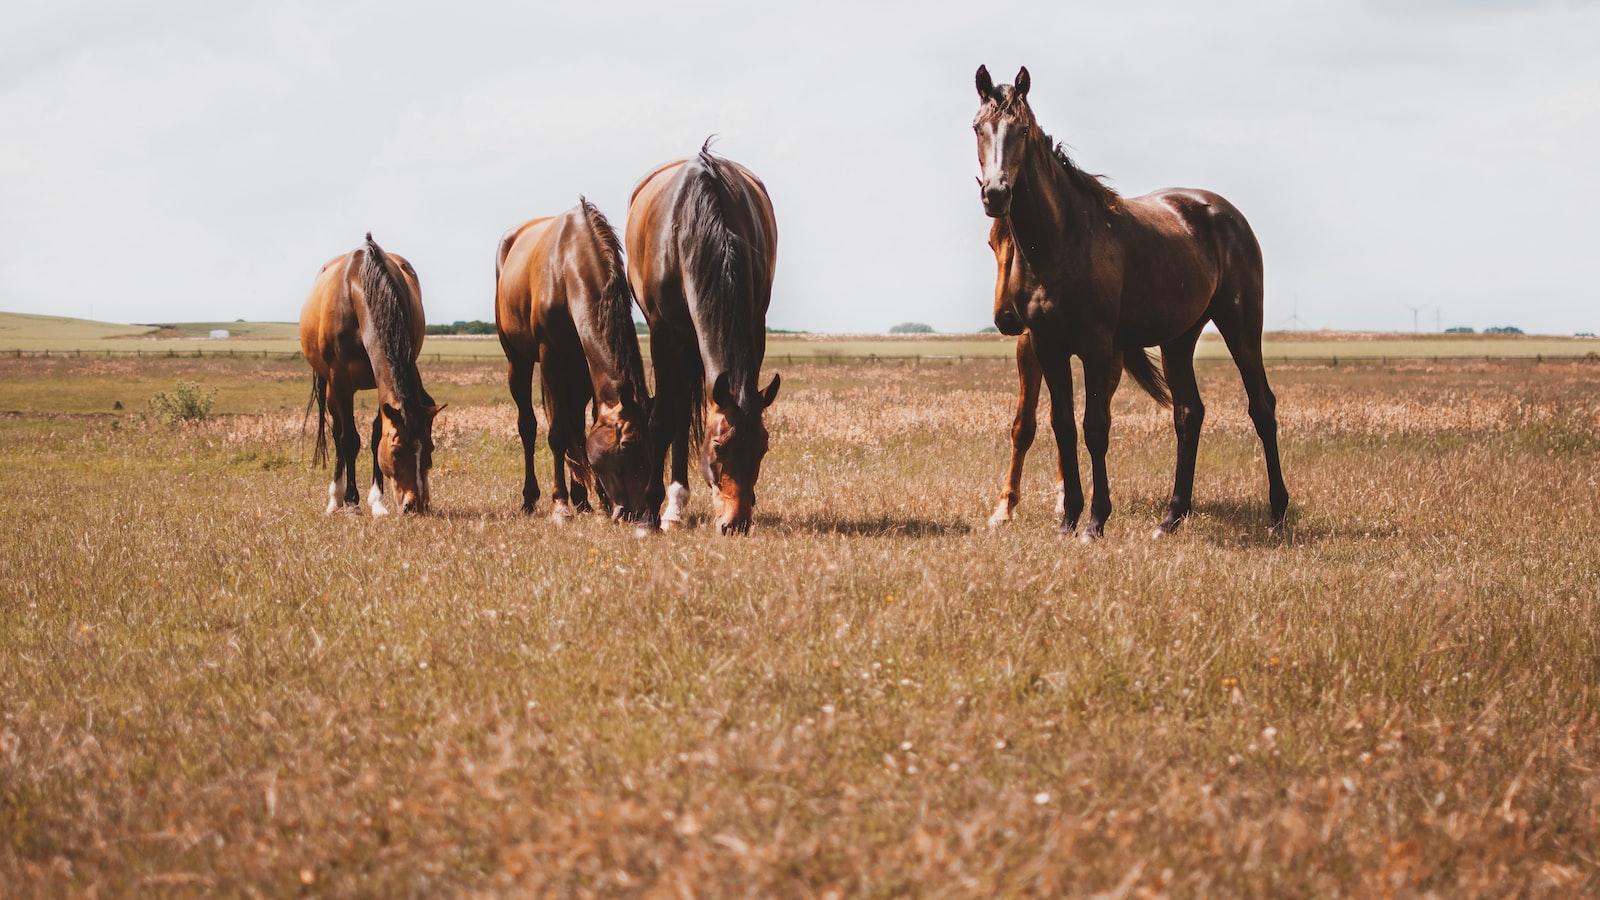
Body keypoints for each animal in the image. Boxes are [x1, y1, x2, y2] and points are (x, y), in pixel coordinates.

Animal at [300, 232, 444, 512]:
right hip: (330, 388)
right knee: (337, 434)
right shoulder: (340, 382)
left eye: (430, 449)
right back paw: (335, 498)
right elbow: (349, 439)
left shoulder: (383, 381)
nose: (414, 505)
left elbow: (376, 435)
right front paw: (351, 502)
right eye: (397, 452)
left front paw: (377, 500)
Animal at [496, 195, 652, 518]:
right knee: (528, 426)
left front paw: (596, 499)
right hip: (518, 361)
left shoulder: (583, 366)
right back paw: (531, 499)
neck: (567, 268)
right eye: (626, 446)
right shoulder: (551, 360)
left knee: (576, 428)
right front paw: (560, 502)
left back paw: (582, 498)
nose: (635, 512)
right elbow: (557, 432)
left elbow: (582, 427)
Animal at [624, 140, 780, 531]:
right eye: (719, 447)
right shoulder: (664, 332)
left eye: (763, 447)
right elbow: (663, 418)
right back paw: (672, 508)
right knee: (678, 410)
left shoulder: (754, 323)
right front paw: (648, 513)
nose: (735, 523)